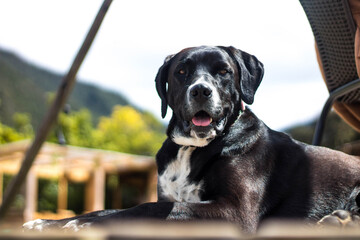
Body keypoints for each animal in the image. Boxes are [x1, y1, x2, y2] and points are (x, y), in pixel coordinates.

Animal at [23, 46, 360, 233]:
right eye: (182, 71)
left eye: (224, 71)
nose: (201, 90)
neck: (192, 148)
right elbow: (105, 208)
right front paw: (49, 223)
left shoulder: (235, 211)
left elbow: (146, 209)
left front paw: (85, 224)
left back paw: (339, 220)